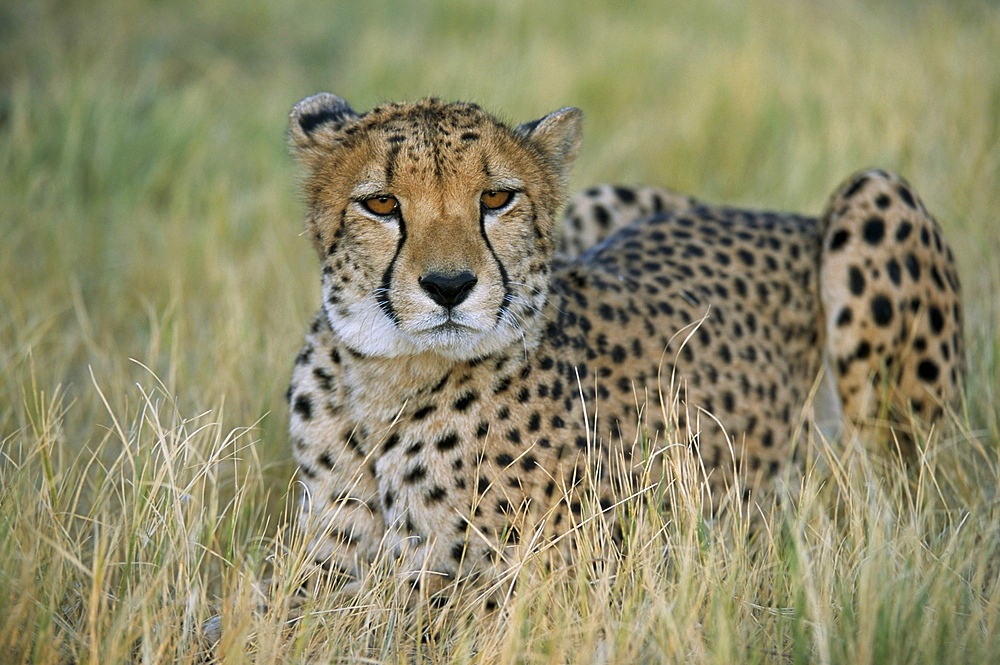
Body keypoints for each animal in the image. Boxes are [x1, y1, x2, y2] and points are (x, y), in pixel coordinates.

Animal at [282, 94, 960, 608]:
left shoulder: (547, 589)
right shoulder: (326, 562)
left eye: (497, 198)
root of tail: (778, 216)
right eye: (381, 203)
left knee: (894, 499)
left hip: (874, 197)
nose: (450, 286)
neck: (388, 379)